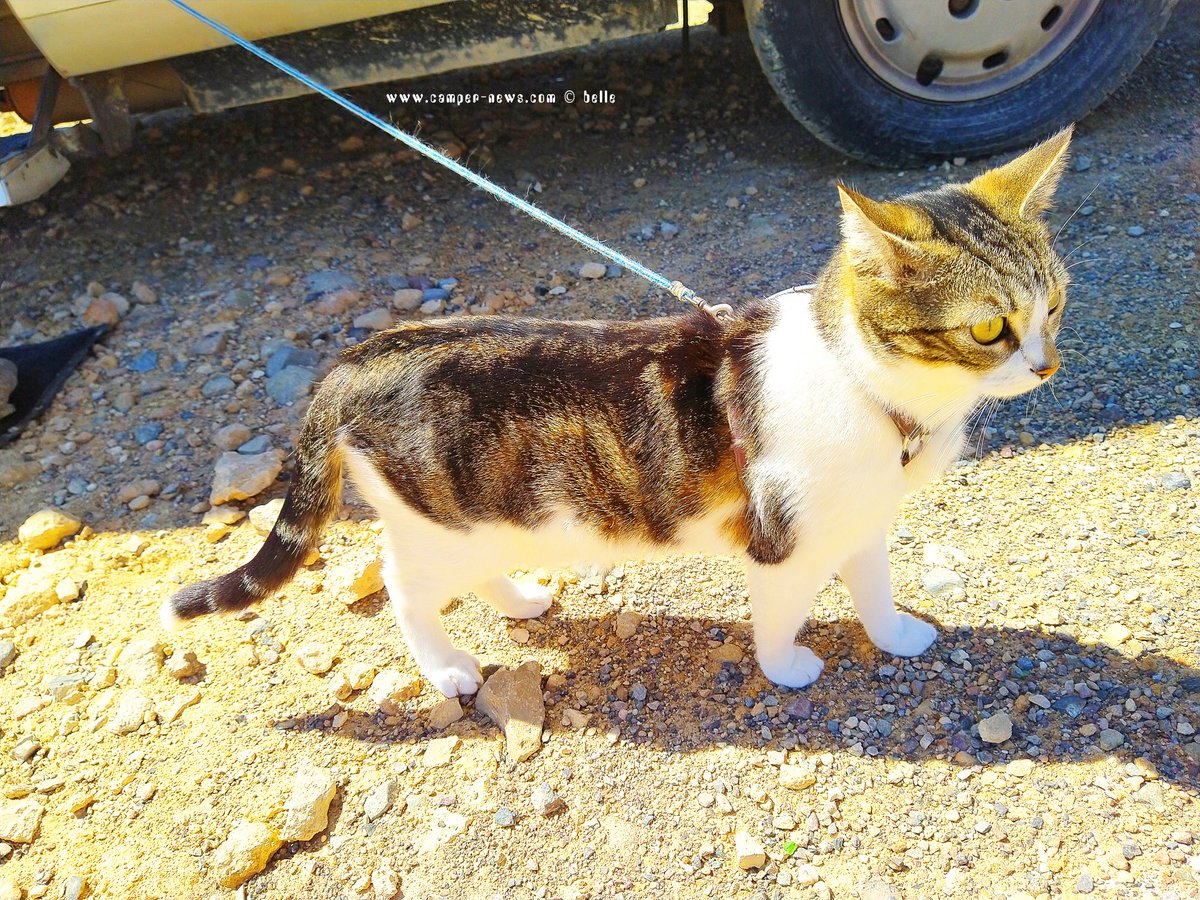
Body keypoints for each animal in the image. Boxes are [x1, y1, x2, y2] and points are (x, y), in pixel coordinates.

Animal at [164, 130, 1075, 700]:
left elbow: (876, 586)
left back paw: (519, 598)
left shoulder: (859, 520)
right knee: (402, 590)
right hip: (439, 523)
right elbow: (780, 613)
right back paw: (448, 666)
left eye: (1056, 306)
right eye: (989, 329)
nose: (1046, 364)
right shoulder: (782, 542)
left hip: (477, 519)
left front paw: (894, 636)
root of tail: (363, 355)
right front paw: (786, 667)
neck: (873, 390)